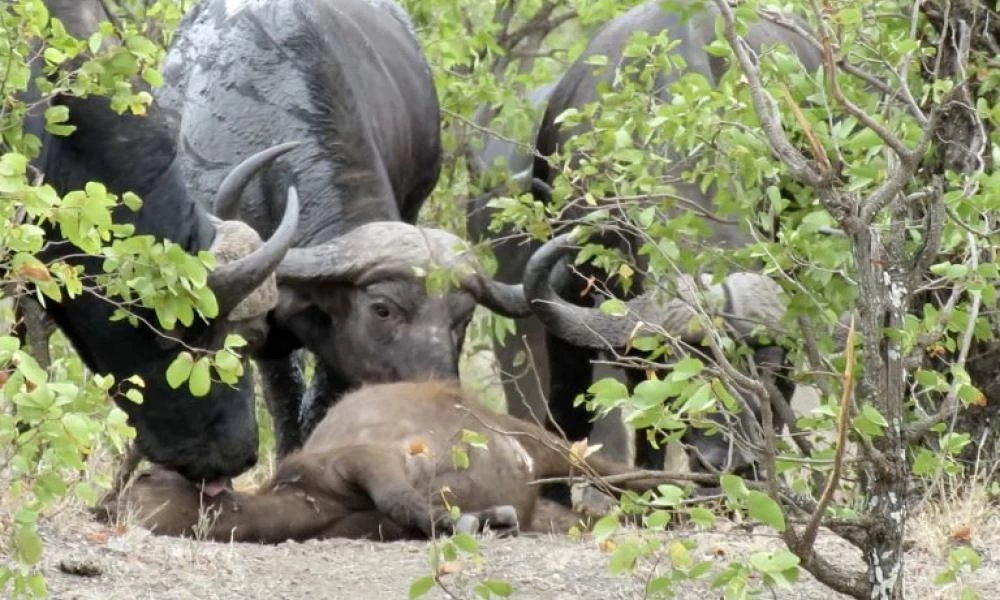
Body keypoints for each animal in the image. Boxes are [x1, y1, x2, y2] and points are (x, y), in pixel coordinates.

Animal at [97, 380, 652, 544]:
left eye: (145, 475)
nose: (109, 506)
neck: (307, 499)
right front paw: (489, 518)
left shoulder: (362, 460)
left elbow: (400, 497)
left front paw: (471, 519)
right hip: (549, 500)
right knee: (591, 513)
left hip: (543, 443)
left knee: (629, 476)